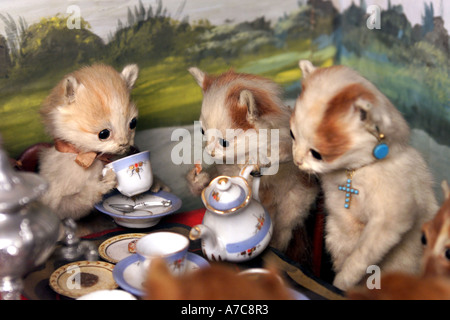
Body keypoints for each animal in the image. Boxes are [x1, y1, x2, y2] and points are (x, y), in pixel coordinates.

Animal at [39, 63, 141, 221]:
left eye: (133, 123)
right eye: (103, 134)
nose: (124, 143)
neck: (87, 155)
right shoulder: (58, 206)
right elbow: (79, 200)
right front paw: (103, 183)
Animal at [290, 59, 438, 290]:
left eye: (317, 154)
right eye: (291, 135)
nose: (296, 160)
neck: (355, 171)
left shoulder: (390, 221)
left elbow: (359, 258)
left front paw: (341, 284)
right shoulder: (338, 221)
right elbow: (342, 248)